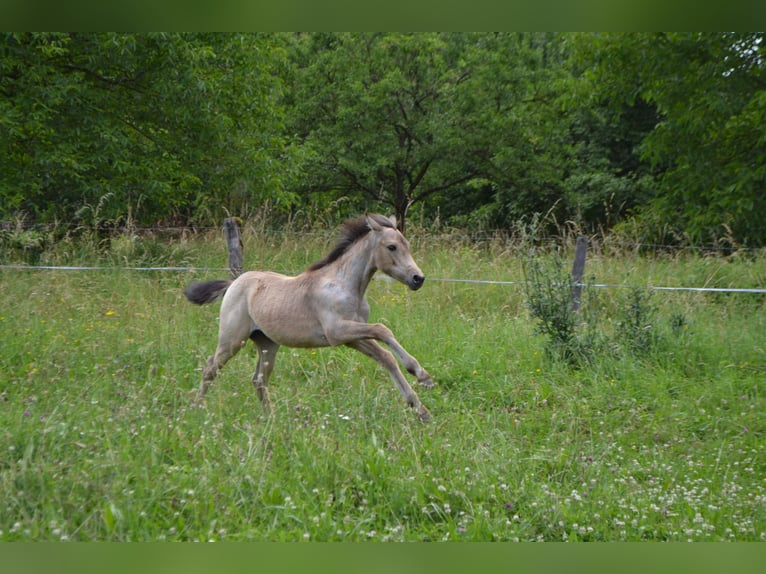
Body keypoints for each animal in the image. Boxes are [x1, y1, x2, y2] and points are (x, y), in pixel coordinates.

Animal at [185, 216, 436, 424]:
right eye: (391, 246)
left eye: (407, 245)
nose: (418, 278)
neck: (346, 285)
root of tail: (234, 283)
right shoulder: (338, 331)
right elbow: (382, 329)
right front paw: (421, 374)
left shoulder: (351, 338)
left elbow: (385, 357)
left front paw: (421, 405)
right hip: (232, 339)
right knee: (210, 368)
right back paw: (197, 409)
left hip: (267, 343)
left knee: (259, 379)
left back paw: (270, 418)